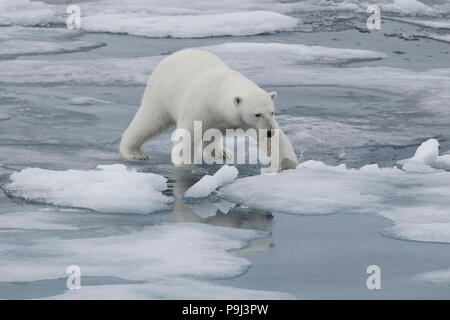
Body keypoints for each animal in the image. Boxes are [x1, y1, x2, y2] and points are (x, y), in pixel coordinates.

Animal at [118, 49, 298, 171]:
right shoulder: (199, 107)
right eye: (257, 114)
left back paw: (220, 153)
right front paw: (185, 167)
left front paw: (288, 165)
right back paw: (134, 152)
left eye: (272, 112)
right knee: (148, 122)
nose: (269, 131)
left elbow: (277, 141)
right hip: (161, 94)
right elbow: (187, 136)